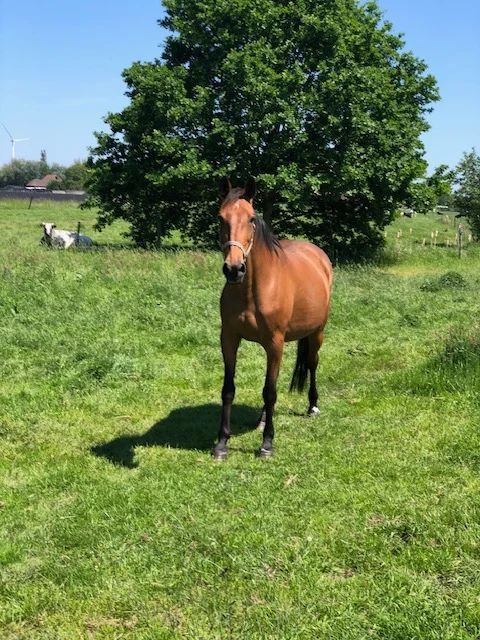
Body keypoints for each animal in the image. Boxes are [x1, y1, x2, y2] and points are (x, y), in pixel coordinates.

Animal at [215, 177, 333, 460]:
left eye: (251, 219)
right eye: (221, 218)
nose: (234, 269)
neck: (253, 290)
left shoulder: (275, 343)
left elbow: (270, 392)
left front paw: (267, 443)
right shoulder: (229, 339)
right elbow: (229, 389)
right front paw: (222, 443)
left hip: (317, 332)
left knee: (312, 363)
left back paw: (312, 406)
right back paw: (260, 420)